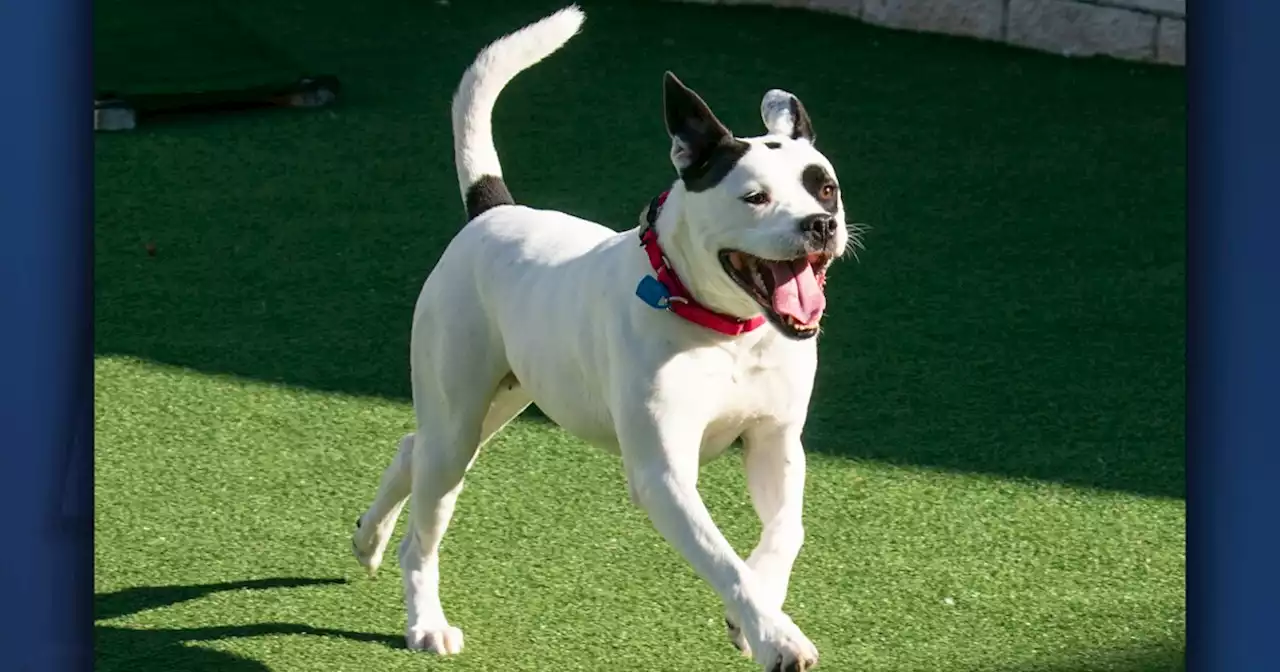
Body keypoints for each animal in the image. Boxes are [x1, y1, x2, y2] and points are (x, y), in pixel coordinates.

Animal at [345, 7, 855, 665]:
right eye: (755, 197)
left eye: (825, 188)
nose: (820, 224)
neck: (725, 331)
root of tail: (492, 211)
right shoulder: (663, 476)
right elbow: (724, 561)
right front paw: (776, 637)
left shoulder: (777, 444)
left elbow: (784, 532)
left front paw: (757, 615)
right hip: (458, 419)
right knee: (424, 533)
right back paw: (426, 621)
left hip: (501, 400)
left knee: (414, 447)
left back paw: (369, 539)